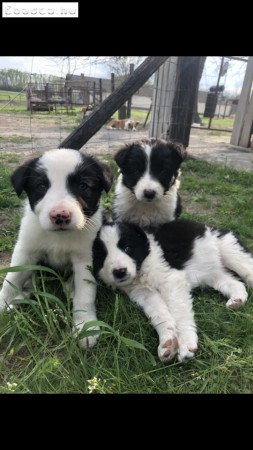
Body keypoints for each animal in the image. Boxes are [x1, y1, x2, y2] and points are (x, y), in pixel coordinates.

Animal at [0, 148, 112, 348]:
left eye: (83, 186)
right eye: (41, 186)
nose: (60, 215)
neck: (59, 237)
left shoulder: (85, 258)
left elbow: (85, 294)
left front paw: (86, 327)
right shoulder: (25, 251)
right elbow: (11, 280)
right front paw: (3, 303)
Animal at [92, 221, 253, 362]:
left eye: (126, 248)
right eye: (103, 255)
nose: (119, 272)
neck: (141, 269)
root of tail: (214, 228)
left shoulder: (171, 281)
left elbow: (180, 314)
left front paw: (186, 344)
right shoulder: (145, 294)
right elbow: (160, 315)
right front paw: (168, 343)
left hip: (231, 252)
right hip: (214, 274)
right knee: (236, 283)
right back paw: (237, 300)